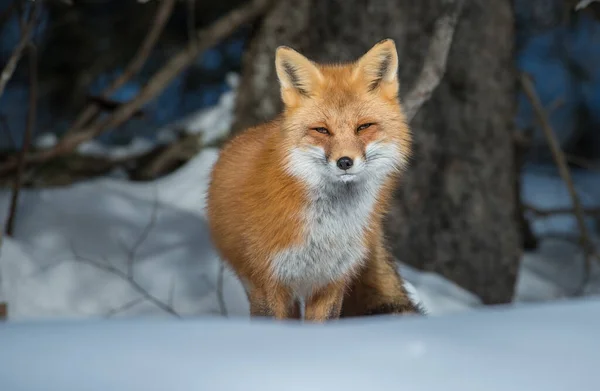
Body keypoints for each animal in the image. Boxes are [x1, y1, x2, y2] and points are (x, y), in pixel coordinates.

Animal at [206, 39, 422, 322]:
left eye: (363, 127)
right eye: (322, 130)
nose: (345, 162)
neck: (326, 229)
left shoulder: (331, 282)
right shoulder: (268, 282)